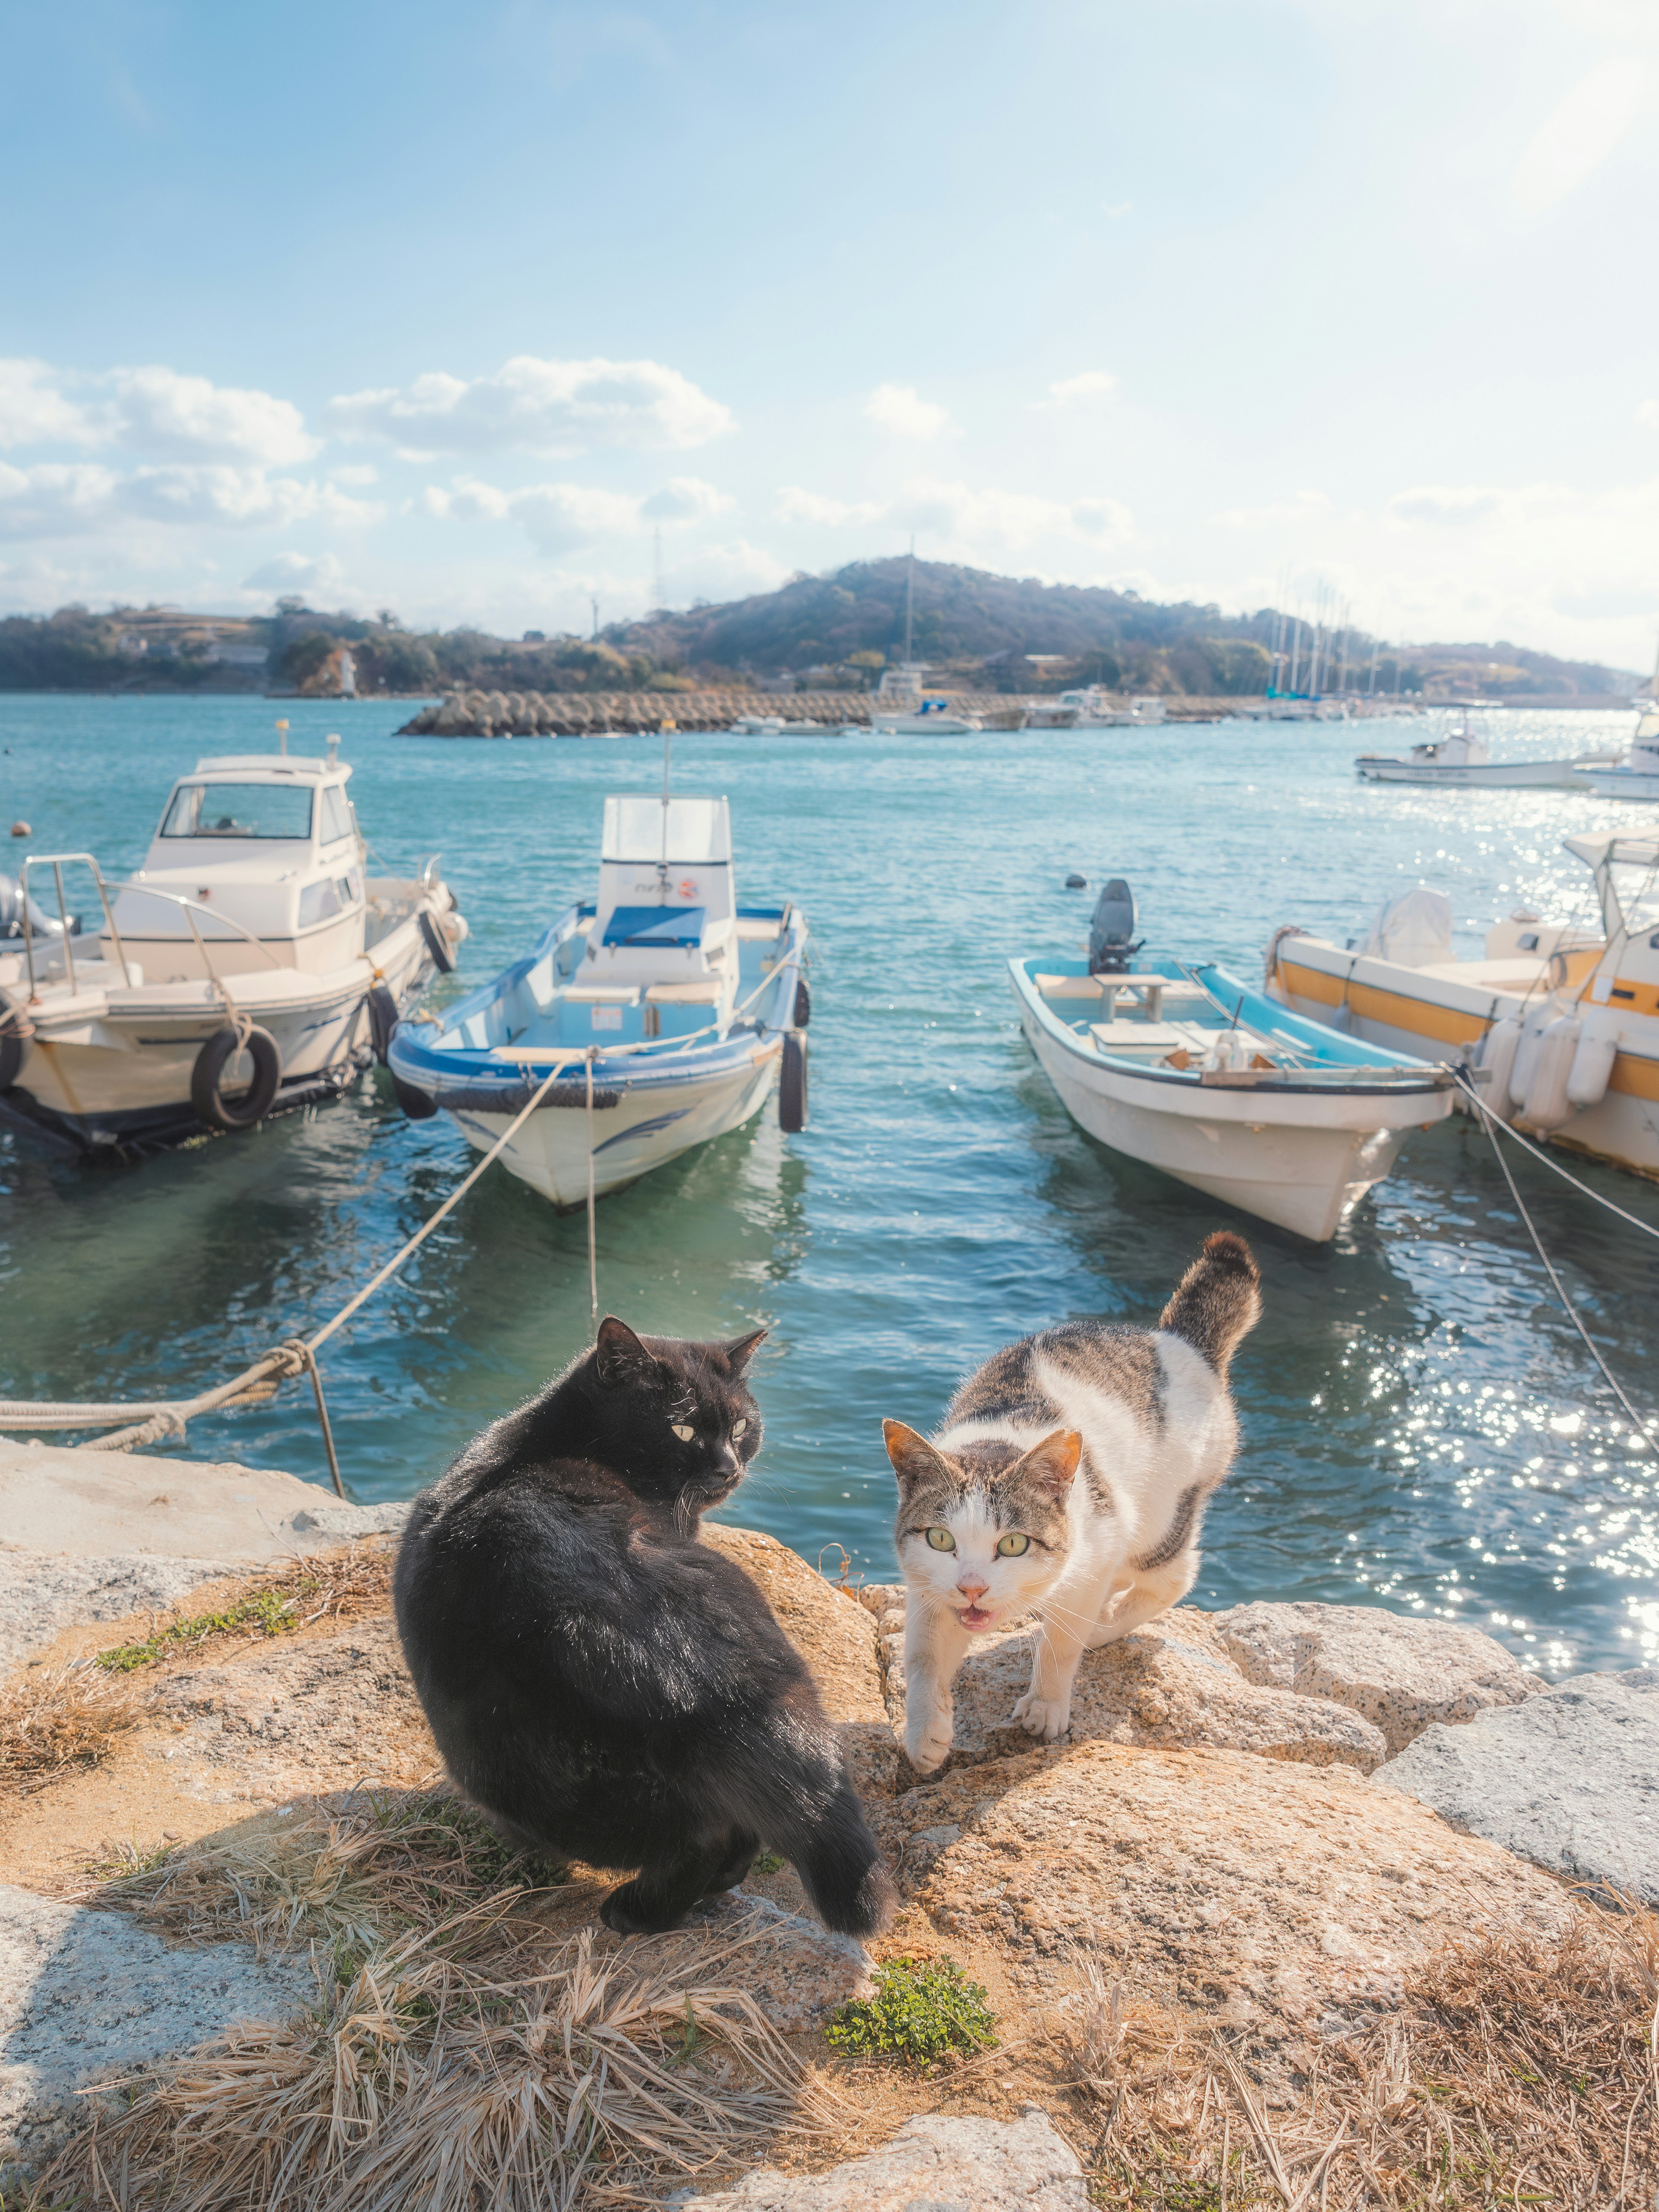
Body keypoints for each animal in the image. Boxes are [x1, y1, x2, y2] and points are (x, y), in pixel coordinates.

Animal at [394, 1309, 898, 1938]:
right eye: (681, 1430)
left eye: (740, 1426)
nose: (728, 1466)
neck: (556, 1437)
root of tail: (700, 1669)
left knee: (706, 1836)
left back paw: (639, 1909)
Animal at [889, 1239, 1265, 1770]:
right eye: (942, 1539)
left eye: (1013, 1544)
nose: (973, 1588)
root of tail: (1179, 1342)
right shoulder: (927, 1582)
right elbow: (922, 1654)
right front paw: (926, 1730)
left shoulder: (1098, 1543)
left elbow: (1063, 1642)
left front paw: (1046, 1705)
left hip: (1161, 1514)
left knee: (1174, 1575)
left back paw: (1101, 1627)